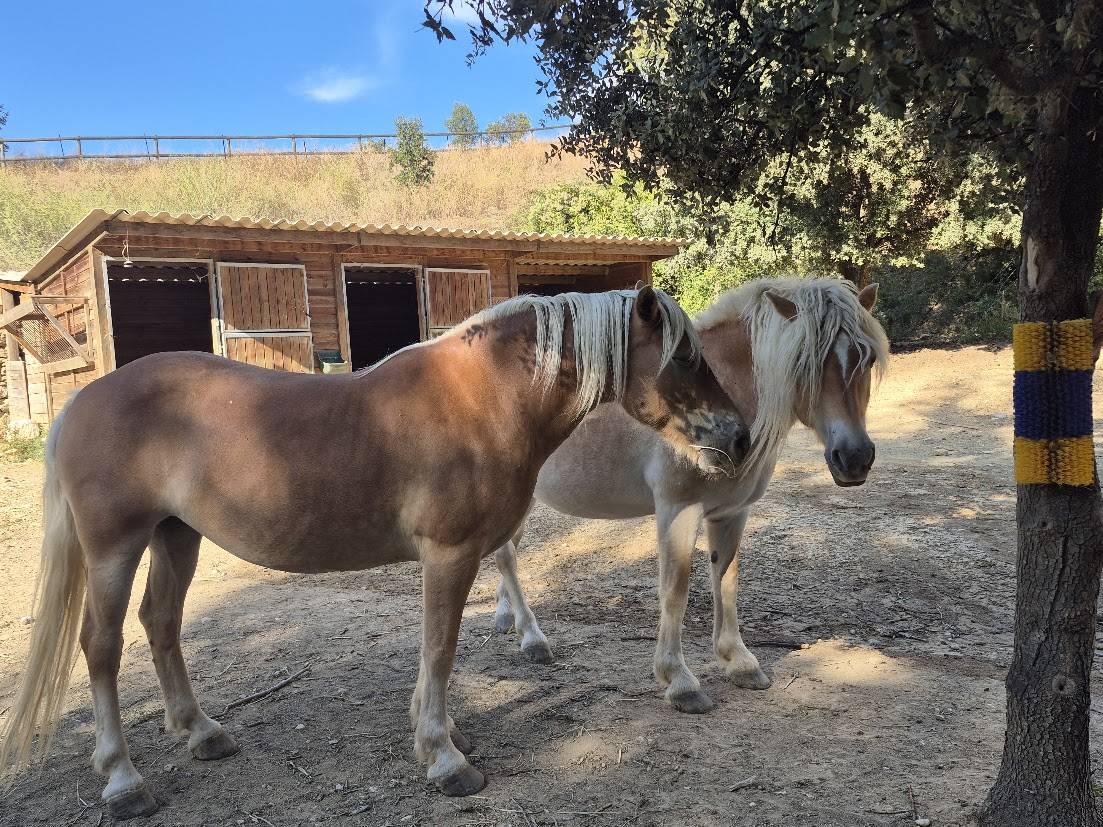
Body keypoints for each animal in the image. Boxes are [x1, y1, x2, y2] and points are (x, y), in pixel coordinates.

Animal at [0, 286, 751, 818]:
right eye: (686, 355)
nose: (739, 436)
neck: (483, 398)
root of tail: (82, 400)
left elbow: (436, 651)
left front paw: (441, 734)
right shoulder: (449, 554)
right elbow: (439, 648)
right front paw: (445, 759)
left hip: (175, 535)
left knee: (161, 624)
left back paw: (201, 731)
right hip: (114, 546)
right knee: (100, 646)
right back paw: (123, 778)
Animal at [491, 277, 889, 713]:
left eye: (868, 359)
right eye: (804, 361)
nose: (854, 458)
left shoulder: (732, 513)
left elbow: (726, 581)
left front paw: (740, 661)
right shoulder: (678, 509)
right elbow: (675, 591)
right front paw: (680, 680)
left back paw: (507, 620)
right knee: (507, 556)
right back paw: (532, 637)